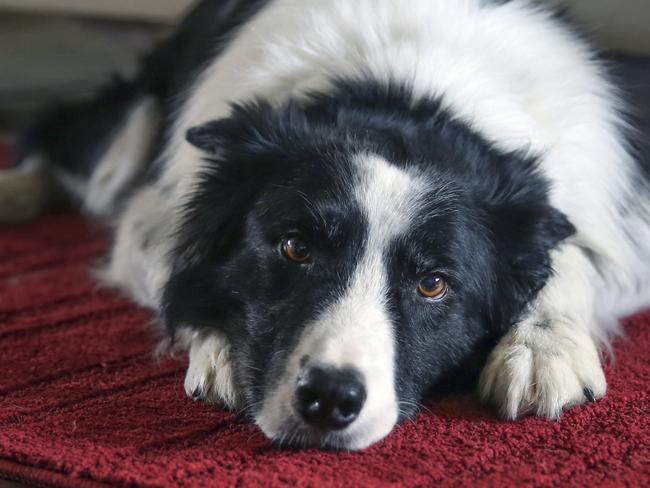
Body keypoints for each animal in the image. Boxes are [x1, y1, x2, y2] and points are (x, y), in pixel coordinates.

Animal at [1, 0, 648, 450]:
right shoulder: (153, 213)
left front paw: (544, 347)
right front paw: (219, 349)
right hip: (121, 139)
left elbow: (569, 252)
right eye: (295, 248)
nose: (330, 399)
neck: (405, 96)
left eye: (433, 283)